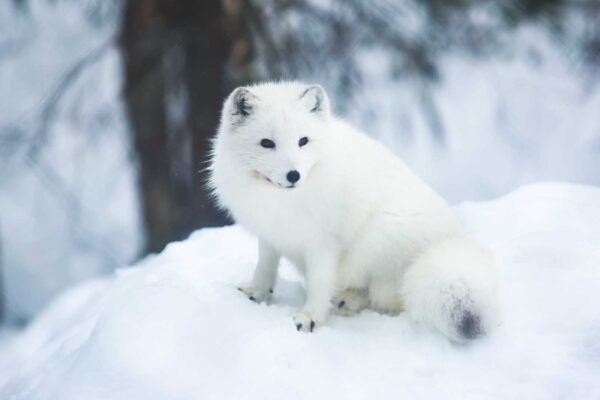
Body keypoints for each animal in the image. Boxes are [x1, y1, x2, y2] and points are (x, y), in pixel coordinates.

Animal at [209, 80, 500, 340]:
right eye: (267, 143)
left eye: (303, 141)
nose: (293, 175)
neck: (280, 200)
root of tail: (454, 238)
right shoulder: (269, 233)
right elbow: (265, 267)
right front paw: (257, 293)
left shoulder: (323, 244)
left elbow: (319, 284)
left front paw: (310, 318)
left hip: (378, 237)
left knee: (389, 299)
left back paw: (348, 300)